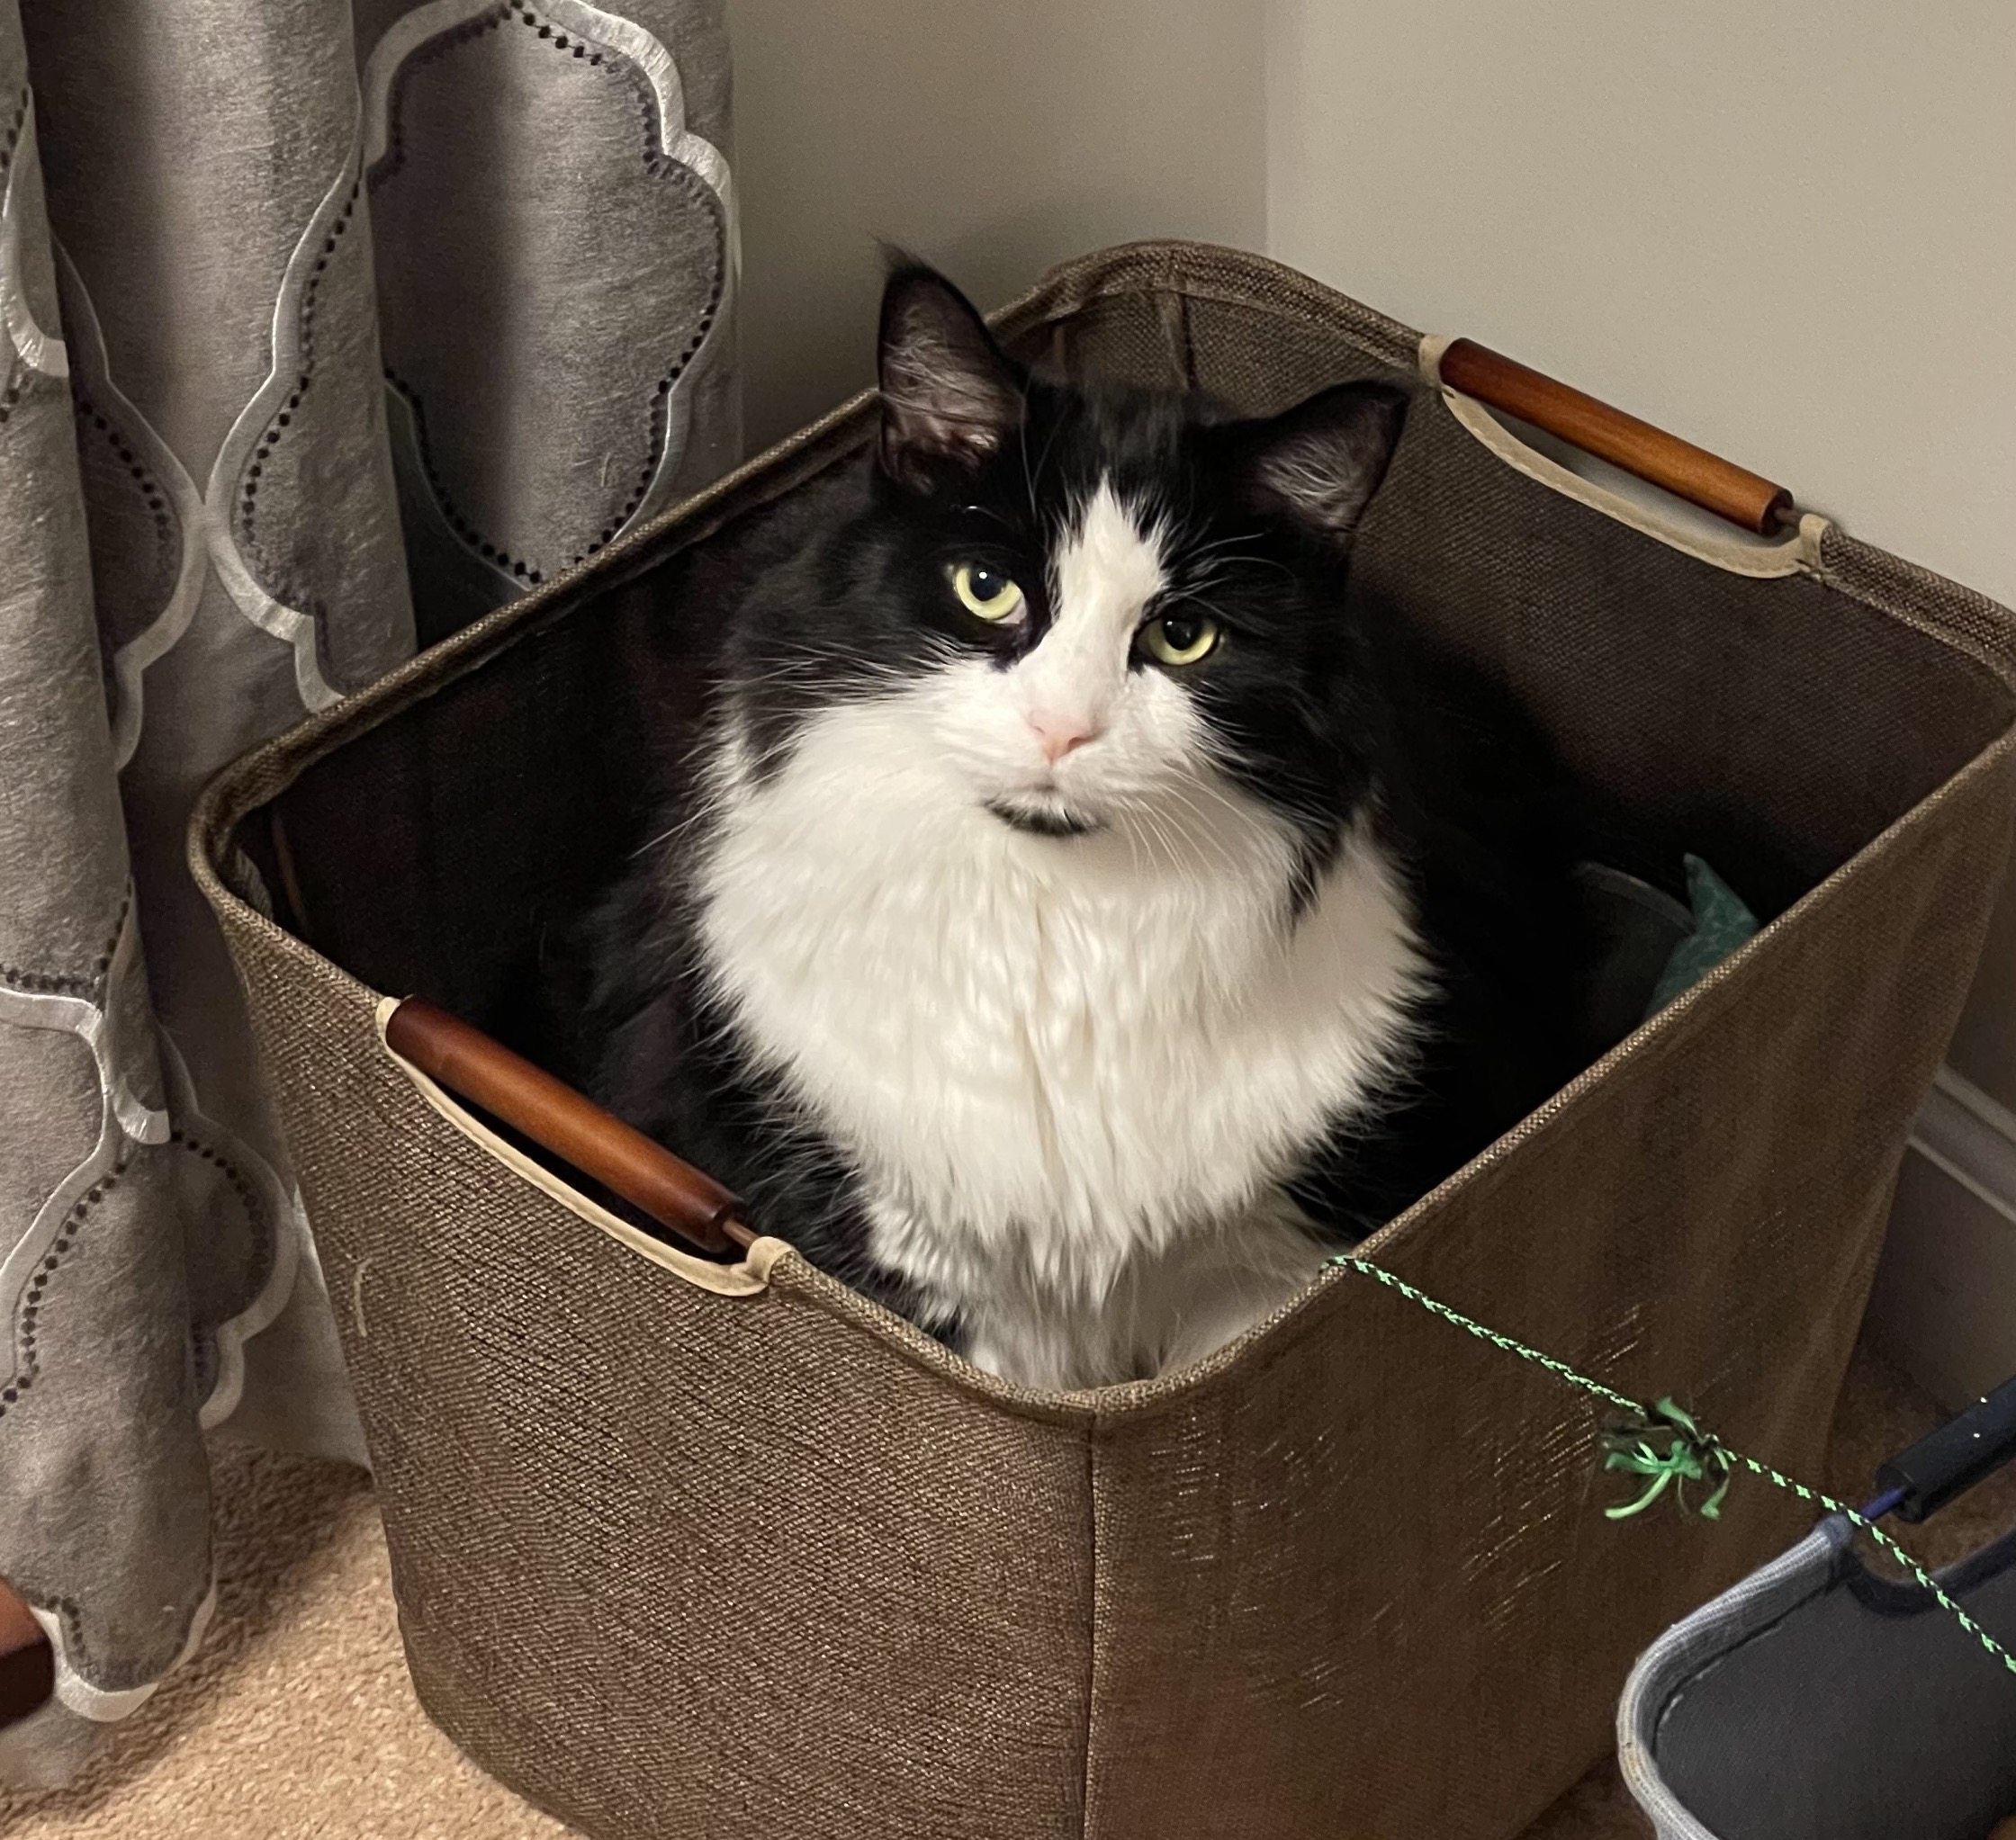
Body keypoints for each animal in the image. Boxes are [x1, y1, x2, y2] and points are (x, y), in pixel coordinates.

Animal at [572, 255, 1588, 1378]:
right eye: (985, 587)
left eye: (1183, 635)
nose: (1061, 728)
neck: (1055, 923)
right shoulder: (911, 1250)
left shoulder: (1269, 1264)